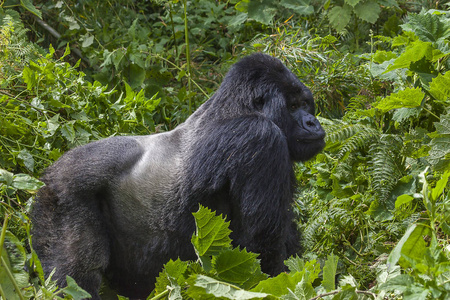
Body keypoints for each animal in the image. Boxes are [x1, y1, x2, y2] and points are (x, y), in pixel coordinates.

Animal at [32, 52, 326, 298]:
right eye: (292, 106)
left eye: (305, 104)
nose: (313, 122)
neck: (237, 107)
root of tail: (52, 170)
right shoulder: (261, 139)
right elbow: (261, 248)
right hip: (63, 195)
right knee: (76, 276)